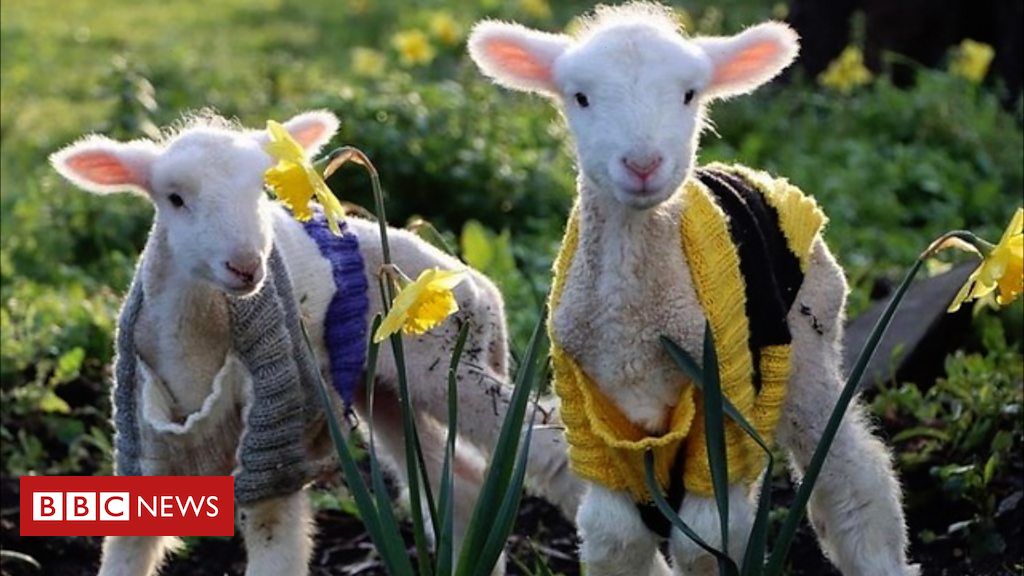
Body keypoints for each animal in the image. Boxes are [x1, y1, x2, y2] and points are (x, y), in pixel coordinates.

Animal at [49, 110, 580, 576]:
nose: (247, 266)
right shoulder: (146, 445)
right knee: (462, 487)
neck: (196, 351)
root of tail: (475, 284)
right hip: (386, 389)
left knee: (552, 450)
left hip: (451, 367)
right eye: (175, 199)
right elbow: (127, 553)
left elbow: (275, 543)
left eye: (261, 191)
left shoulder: (275, 441)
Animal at [468, 4, 917, 575]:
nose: (642, 165)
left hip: (808, 343)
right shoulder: (591, 412)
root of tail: (749, 172)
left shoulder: (721, 402)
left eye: (689, 94)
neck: (632, 327)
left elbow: (706, 539)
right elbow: (614, 535)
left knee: (851, 470)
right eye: (581, 97)